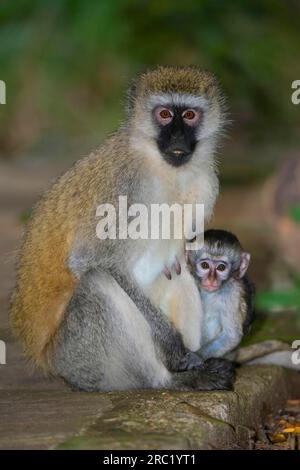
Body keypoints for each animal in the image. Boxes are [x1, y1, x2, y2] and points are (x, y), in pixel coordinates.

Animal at [11, 65, 234, 390]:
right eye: (164, 115)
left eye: (190, 115)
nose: (178, 138)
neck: (164, 169)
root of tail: (46, 361)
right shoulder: (124, 183)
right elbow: (88, 260)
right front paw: (174, 347)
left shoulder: (206, 182)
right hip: (78, 360)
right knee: (98, 282)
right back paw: (170, 381)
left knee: (179, 272)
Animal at [186, 230, 254, 360]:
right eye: (205, 266)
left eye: (221, 267)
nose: (211, 280)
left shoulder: (233, 293)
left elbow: (231, 336)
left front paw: (196, 356)